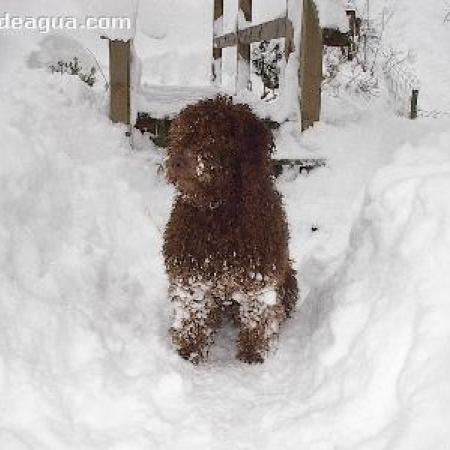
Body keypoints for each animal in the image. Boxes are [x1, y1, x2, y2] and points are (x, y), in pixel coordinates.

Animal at [163, 96, 298, 364]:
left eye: (214, 136)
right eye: (182, 134)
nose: (177, 162)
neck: (219, 211)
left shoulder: (259, 272)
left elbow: (258, 314)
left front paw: (253, 352)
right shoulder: (191, 269)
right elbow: (192, 311)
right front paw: (189, 350)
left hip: (288, 281)